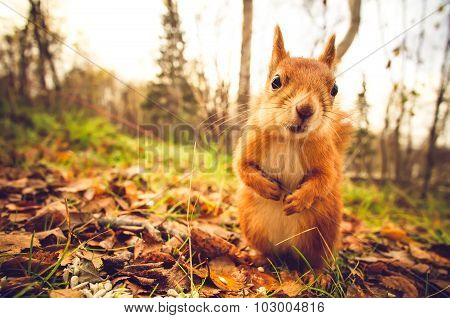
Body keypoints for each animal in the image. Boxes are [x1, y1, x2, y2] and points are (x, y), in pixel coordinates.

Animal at [234, 26, 354, 272]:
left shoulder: (325, 157)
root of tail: (286, 250)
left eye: (335, 89)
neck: (288, 138)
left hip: (322, 232)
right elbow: (242, 167)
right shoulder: (251, 141)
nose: (305, 109)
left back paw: (316, 273)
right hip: (253, 224)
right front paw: (268, 188)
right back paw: (260, 258)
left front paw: (299, 199)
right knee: (270, 252)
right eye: (275, 81)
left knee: (316, 259)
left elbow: (326, 178)